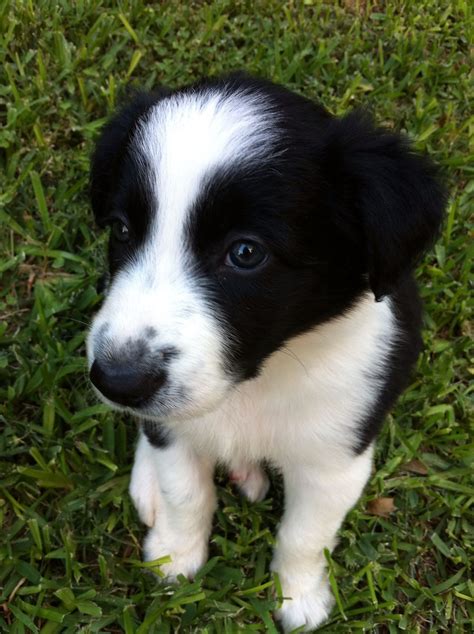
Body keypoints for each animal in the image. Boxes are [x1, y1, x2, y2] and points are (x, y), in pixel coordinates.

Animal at [85, 73, 444, 628]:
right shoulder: (174, 426)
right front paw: (175, 557)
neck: (256, 382)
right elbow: (185, 492)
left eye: (245, 252)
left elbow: (305, 535)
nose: (117, 381)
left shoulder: (335, 457)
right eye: (123, 230)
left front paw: (299, 597)